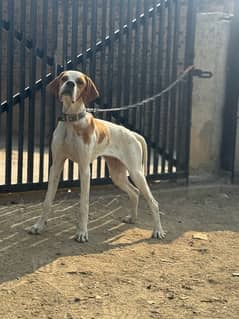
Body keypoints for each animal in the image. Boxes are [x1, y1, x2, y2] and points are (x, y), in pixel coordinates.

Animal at [29, 70, 165, 242]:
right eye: (64, 78)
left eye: (80, 82)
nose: (70, 84)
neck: (71, 122)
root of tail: (132, 133)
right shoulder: (56, 166)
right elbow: (47, 201)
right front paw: (39, 226)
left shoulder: (84, 169)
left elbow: (84, 204)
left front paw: (82, 232)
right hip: (117, 175)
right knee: (134, 192)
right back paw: (133, 218)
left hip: (136, 173)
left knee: (153, 202)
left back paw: (158, 231)